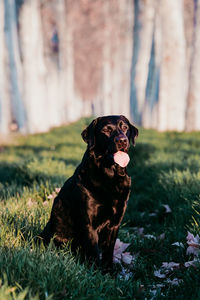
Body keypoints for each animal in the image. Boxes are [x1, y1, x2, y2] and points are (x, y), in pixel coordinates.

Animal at [40, 115, 138, 270]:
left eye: (125, 127)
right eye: (106, 130)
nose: (122, 140)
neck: (109, 175)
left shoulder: (115, 223)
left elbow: (108, 251)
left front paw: (108, 271)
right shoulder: (89, 224)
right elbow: (93, 252)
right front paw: (95, 272)